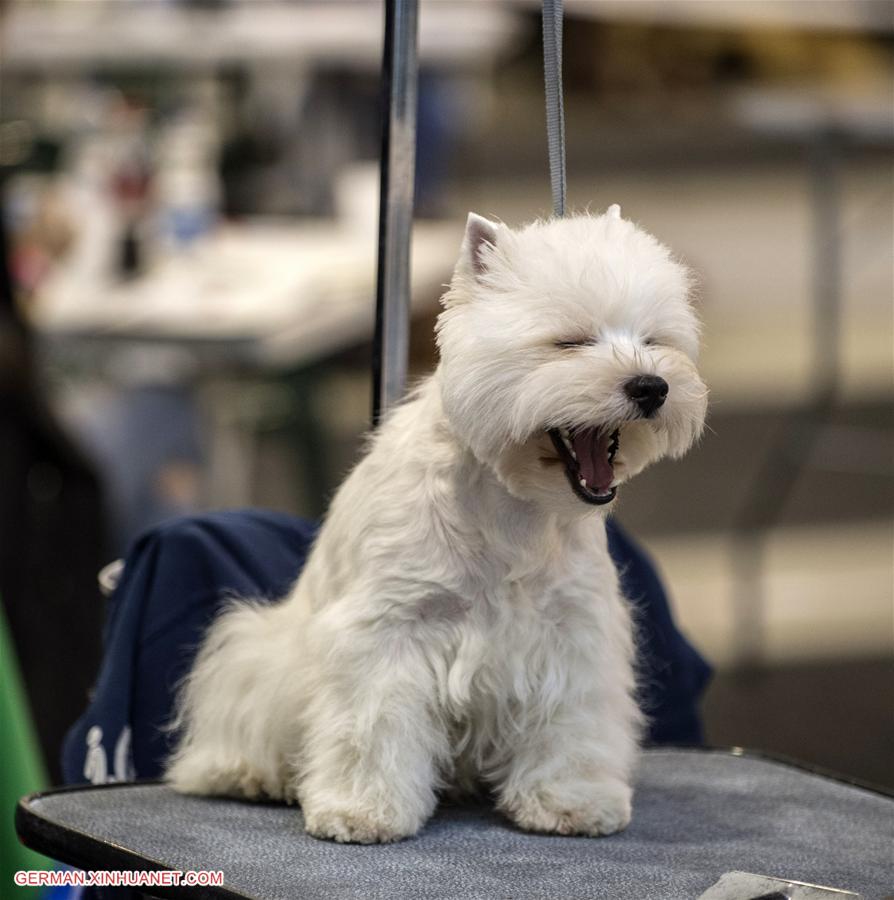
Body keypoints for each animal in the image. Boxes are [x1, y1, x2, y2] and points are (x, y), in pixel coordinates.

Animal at [168, 209, 712, 844]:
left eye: (654, 341)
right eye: (570, 342)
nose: (652, 387)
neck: (511, 506)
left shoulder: (571, 632)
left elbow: (570, 724)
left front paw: (570, 801)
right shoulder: (388, 630)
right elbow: (371, 725)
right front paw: (363, 810)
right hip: (256, 662)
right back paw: (250, 775)